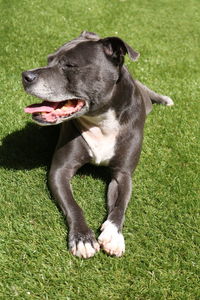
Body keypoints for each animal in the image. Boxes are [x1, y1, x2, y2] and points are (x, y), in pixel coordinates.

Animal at [21, 31, 173, 258]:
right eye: (49, 60)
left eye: (69, 65)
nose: (25, 75)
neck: (101, 121)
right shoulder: (60, 170)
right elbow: (74, 205)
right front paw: (83, 238)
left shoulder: (123, 174)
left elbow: (120, 205)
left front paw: (113, 235)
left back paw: (164, 99)